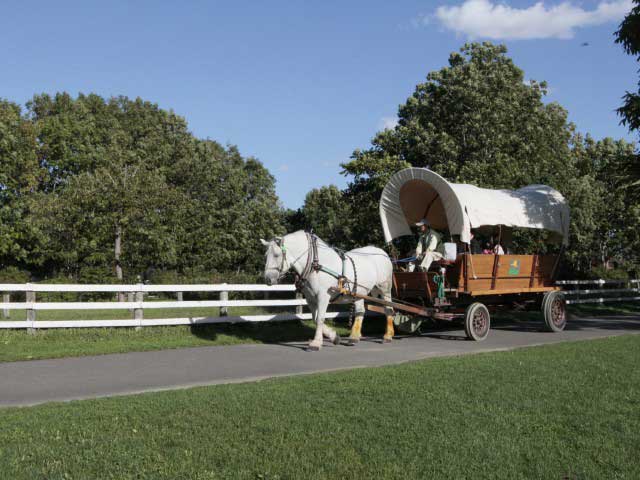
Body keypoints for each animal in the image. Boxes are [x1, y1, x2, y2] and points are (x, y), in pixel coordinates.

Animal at [262, 231, 396, 350]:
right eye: (266, 255)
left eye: (276, 255)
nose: (268, 279)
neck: (315, 265)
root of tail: (383, 253)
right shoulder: (310, 298)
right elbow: (315, 318)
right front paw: (334, 337)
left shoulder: (323, 296)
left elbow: (320, 318)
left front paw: (316, 343)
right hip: (360, 293)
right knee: (360, 311)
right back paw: (354, 337)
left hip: (384, 289)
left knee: (388, 309)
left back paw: (388, 336)